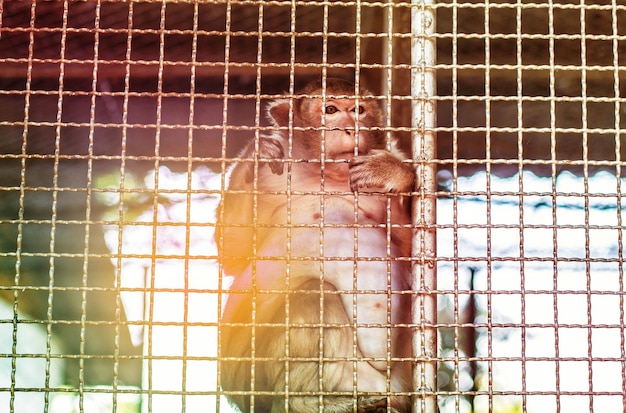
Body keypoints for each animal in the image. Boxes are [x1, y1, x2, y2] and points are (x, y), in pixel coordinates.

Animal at [217, 78, 416, 412]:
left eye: (358, 110)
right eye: (330, 110)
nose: (349, 127)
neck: (330, 177)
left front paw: (394, 173)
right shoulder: (272, 177)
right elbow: (234, 252)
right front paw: (255, 155)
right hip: (246, 375)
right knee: (314, 295)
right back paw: (305, 400)